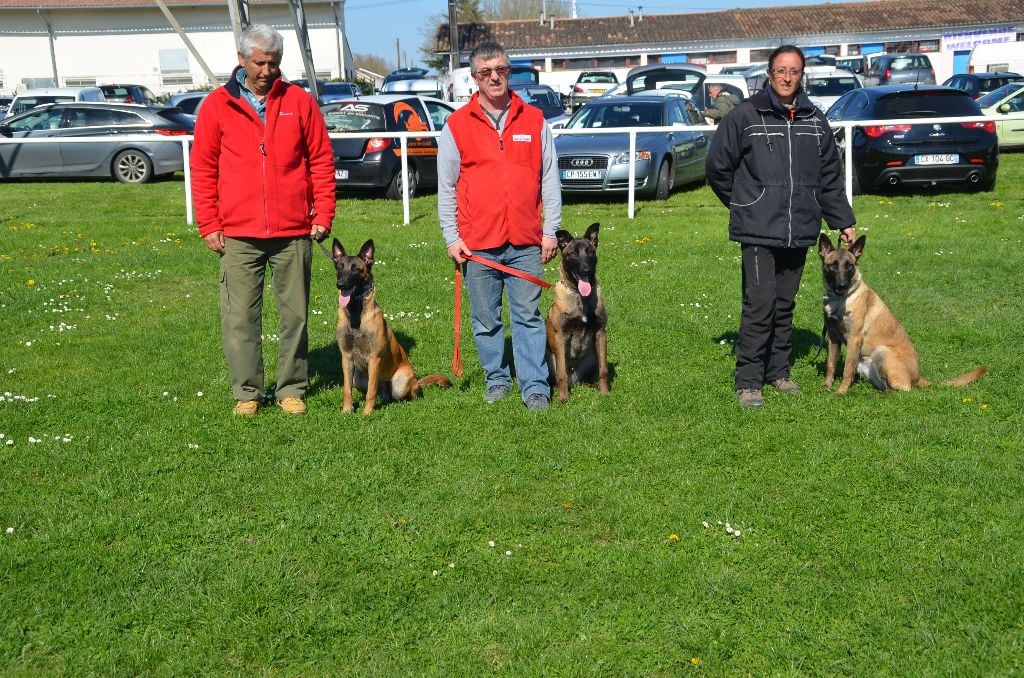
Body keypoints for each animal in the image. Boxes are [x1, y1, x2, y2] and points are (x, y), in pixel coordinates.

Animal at [333, 241, 450, 417]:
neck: (355, 314)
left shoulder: (374, 358)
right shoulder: (346, 358)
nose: (340, 284)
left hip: (402, 380)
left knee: (410, 394)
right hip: (358, 378)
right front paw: (347, 410)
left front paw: (367, 413)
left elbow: (371, 391)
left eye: (356, 269)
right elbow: (347, 389)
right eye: (340, 267)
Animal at [548, 223, 610, 403]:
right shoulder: (560, 336)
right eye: (573, 253)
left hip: (593, 355)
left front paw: (605, 393)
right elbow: (561, 373)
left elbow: (604, 370)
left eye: (590, 252)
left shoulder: (601, 333)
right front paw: (563, 399)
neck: (579, 296)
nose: (585, 271)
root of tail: (574, 380)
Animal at [815, 233, 983, 393]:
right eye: (833, 266)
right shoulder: (833, 337)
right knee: (887, 388)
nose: (842, 285)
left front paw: (841, 391)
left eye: (849, 266)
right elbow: (830, 364)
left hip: (882, 352)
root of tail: (918, 377)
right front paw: (826, 386)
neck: (839, 300)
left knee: (901, 390)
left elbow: (847, 370)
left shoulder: (854, 339)